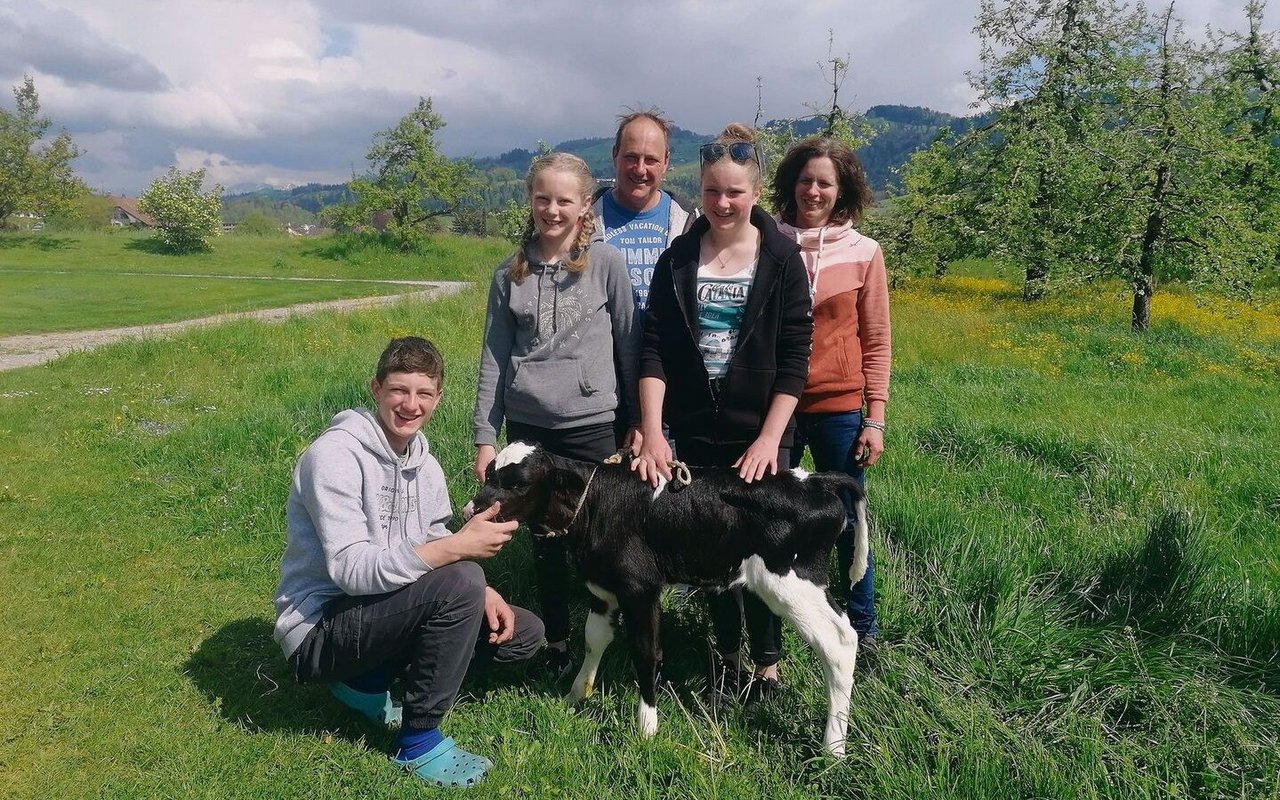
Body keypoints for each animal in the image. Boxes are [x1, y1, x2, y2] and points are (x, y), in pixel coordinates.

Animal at [465, 437, 875, 752]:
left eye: (518, 483)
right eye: (490, 474)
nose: (474, 508)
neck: (595, 502)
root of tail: (816, 480)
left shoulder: (640, 589)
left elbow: (646, 652)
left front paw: (646, 726)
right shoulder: (603, 588)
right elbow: (594, 639)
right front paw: (576, 694)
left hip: (791, 583)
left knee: (840, 641)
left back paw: (833, 747)